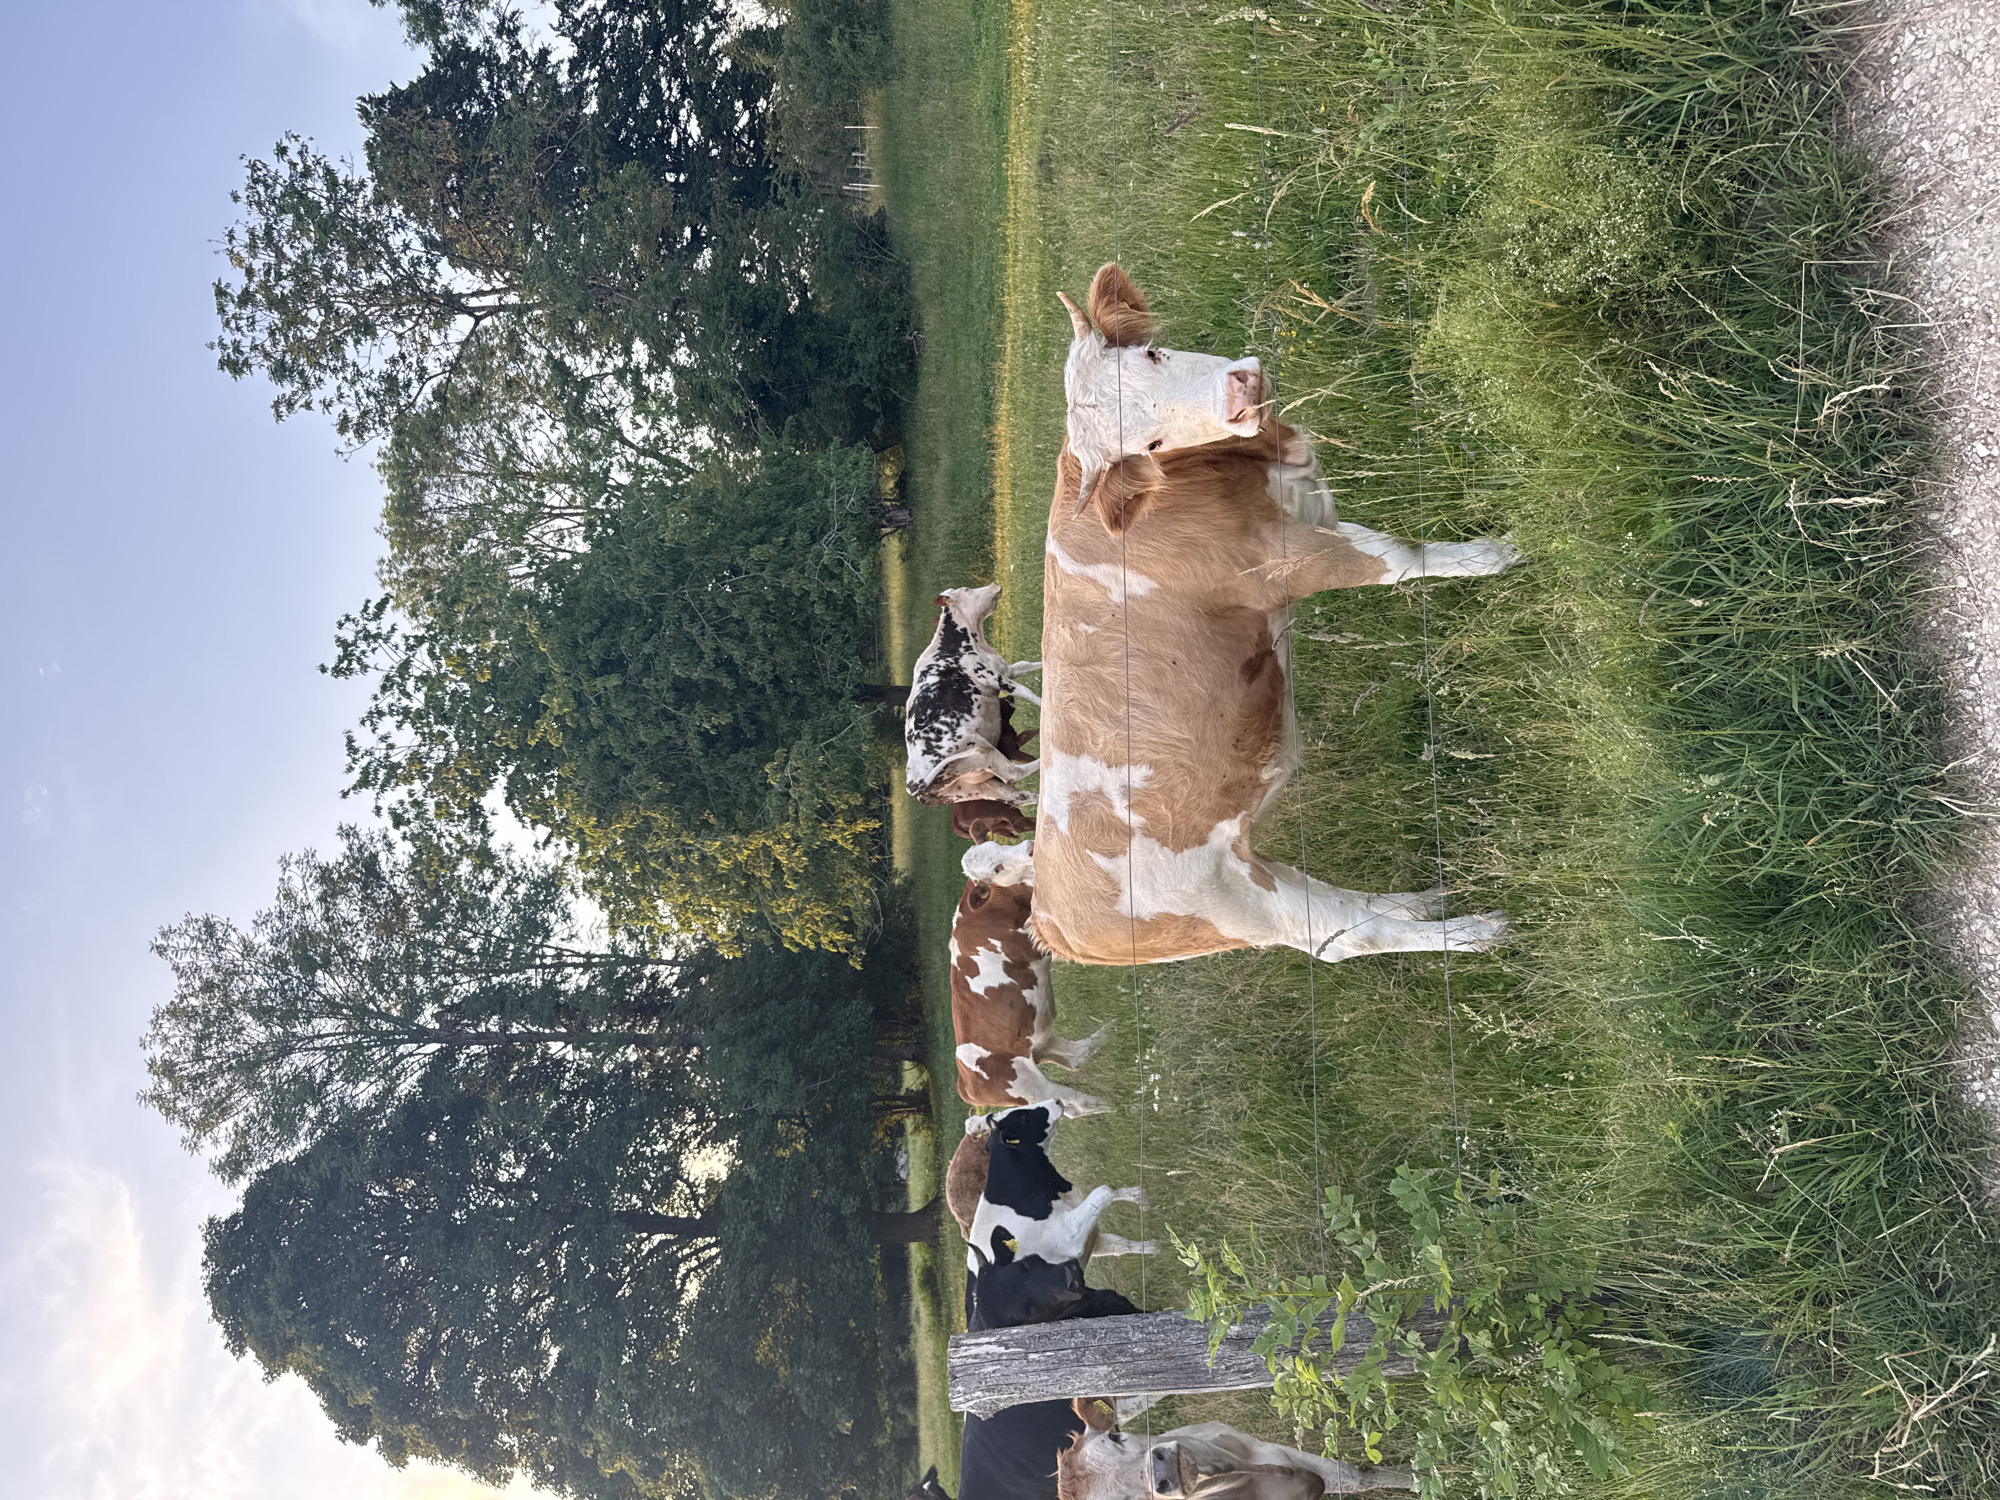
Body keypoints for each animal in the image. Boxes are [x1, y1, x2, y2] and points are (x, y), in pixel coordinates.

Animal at [907, 585, 1043, 806]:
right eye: (966, 589)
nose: (995, 586)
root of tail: (914, 787)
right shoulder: (992, 677)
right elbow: (1025, 691)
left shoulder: (1007, 670)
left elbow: (1029, 665)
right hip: (978, 749)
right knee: (1013, 772)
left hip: (976, 787)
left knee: (1019, 796)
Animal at [952, 844, 1109, 1118]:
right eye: (997, 869)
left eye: (998, 846)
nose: (1030, 847)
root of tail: (964, 1084)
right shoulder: (1039, 943)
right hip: (1026, 1084)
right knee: (1071, 1102)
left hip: (1038, 1041)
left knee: (1075, 1056)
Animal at [1029, 268, 1520, 968]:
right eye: (1148, 444)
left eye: (1152, 354)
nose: (1239, 394)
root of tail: (1051, 918)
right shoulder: (1288, 562)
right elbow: (1403, 558)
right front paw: (1496, 554)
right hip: (1230, 900)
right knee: (1340, 936)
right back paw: (1473, 932)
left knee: (1337, 907)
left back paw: (1420, 903)